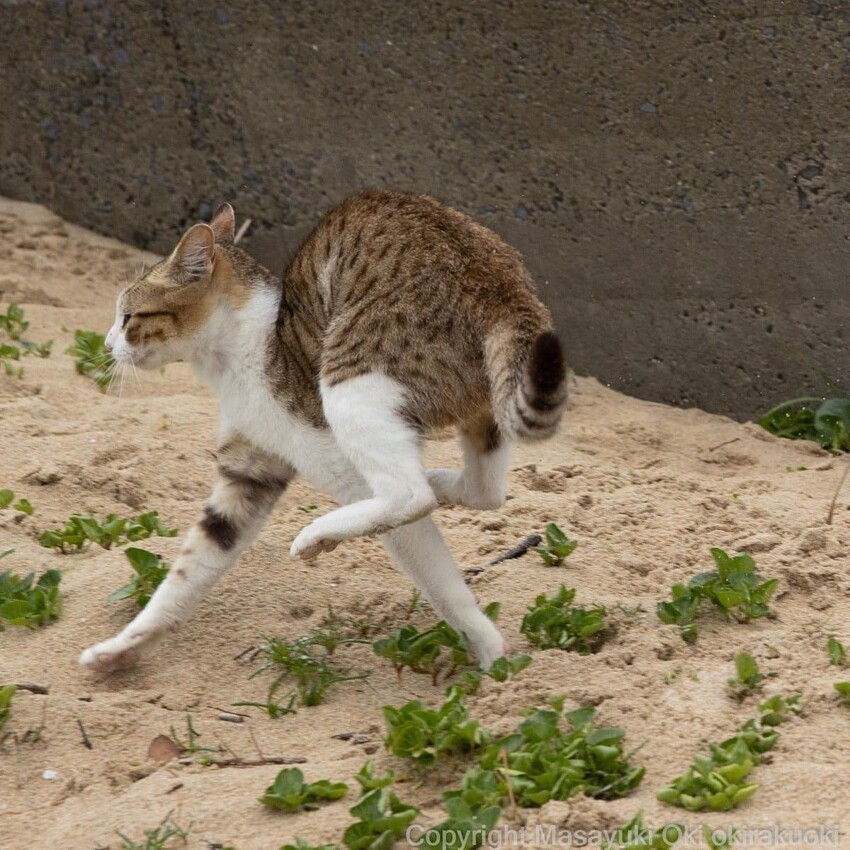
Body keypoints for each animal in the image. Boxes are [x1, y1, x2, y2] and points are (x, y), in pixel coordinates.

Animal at [79, 190, 568, 668]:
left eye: (128, 318)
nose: (107, 343)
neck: (234, 353)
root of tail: (500, 288)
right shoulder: (249, 471)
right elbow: (191, 566)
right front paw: (125, 646)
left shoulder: (329, 457)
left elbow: (440, 580)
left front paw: (490, 656)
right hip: (488, 403)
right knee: (486, 491)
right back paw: (440, 482)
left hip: (349, 383)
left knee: (411, 495)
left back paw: (320, 534)